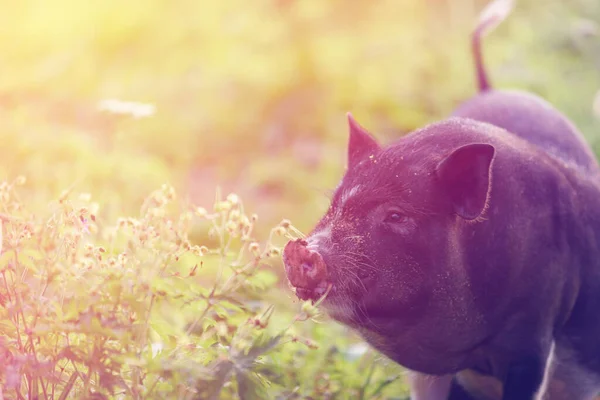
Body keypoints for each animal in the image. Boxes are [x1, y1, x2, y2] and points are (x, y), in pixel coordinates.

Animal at [282, 0, 600, 400]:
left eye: (396, 215)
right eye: (335, 202)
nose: (300, 248)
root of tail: (489, 88)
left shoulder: (535, 340)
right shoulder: (433, 373)